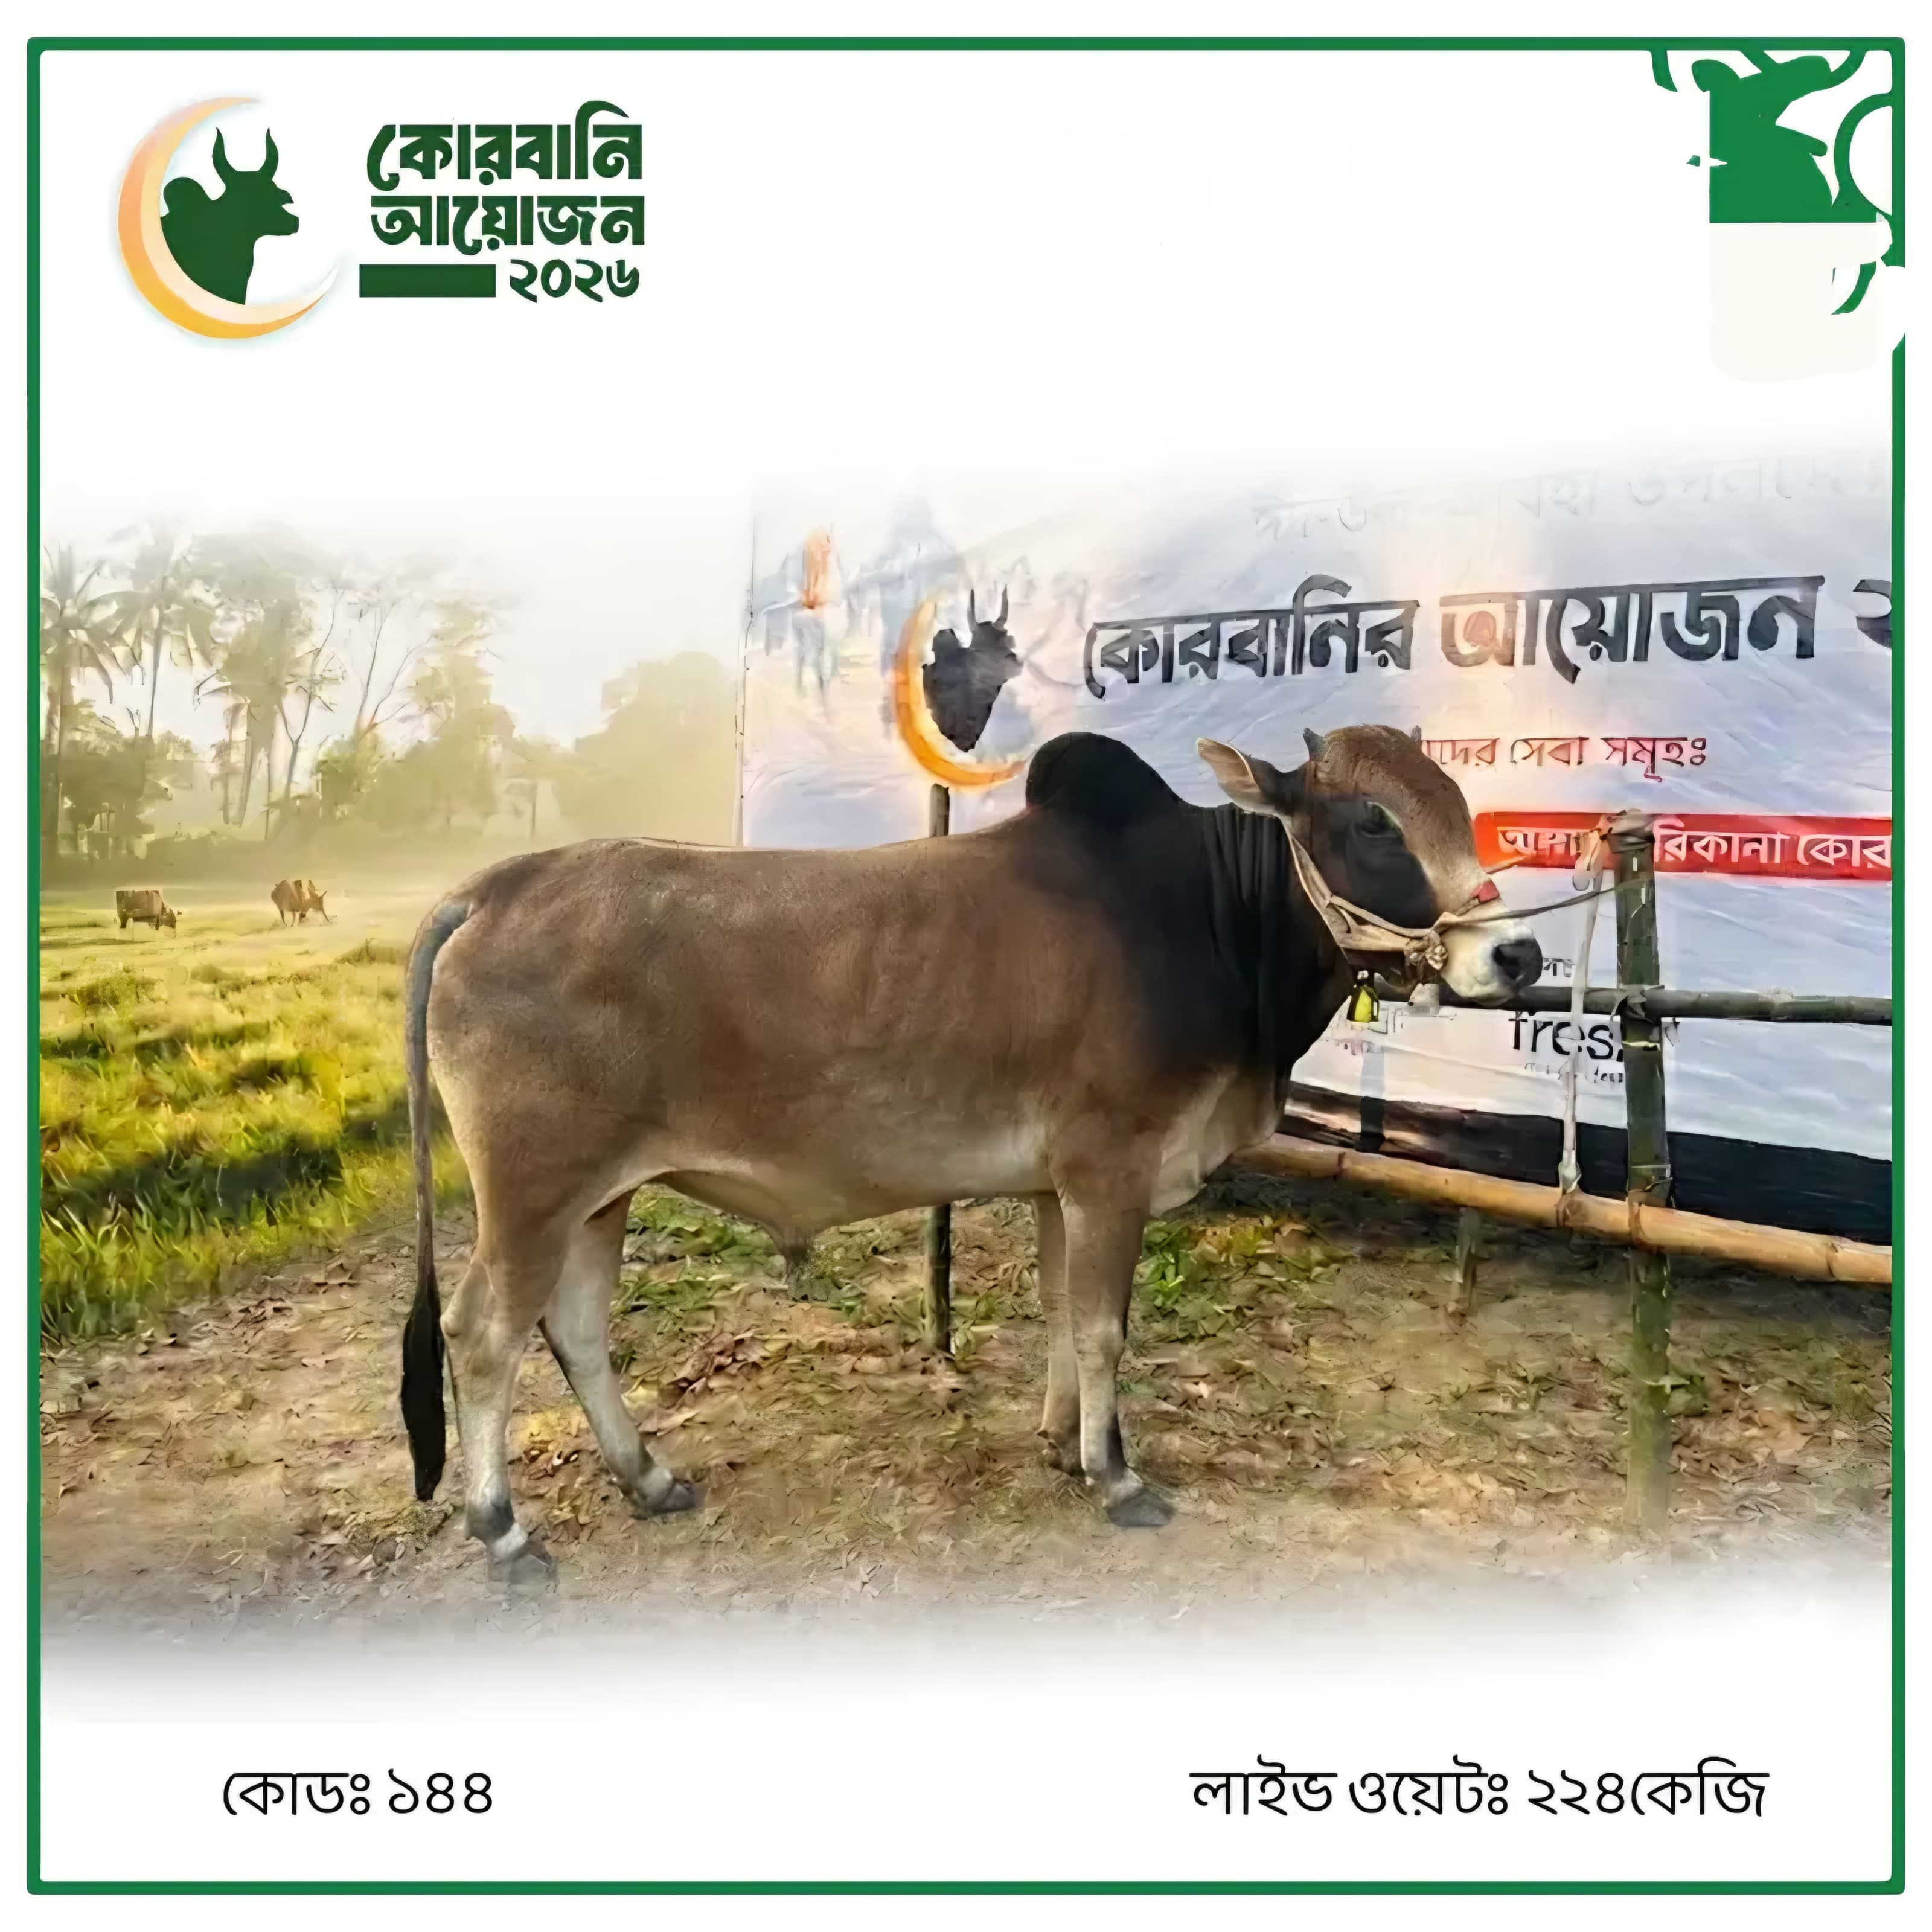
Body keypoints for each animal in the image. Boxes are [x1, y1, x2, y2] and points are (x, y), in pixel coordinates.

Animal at [399, 725, 1542, 1589]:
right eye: (1372, 823)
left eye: (1458, 804)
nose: (1517, 953)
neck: (1203, 916)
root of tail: (493, 888)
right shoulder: (1111, 1170)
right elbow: (1105, 1331)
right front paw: (1117, 1475)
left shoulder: (1057, 1185)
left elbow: (1064, 1317)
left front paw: (1062, 1443)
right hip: (534, 1194)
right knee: (484, 1335)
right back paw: (506, 1532)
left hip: (600, 1198)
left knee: (578, 1331)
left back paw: (648, 1479)